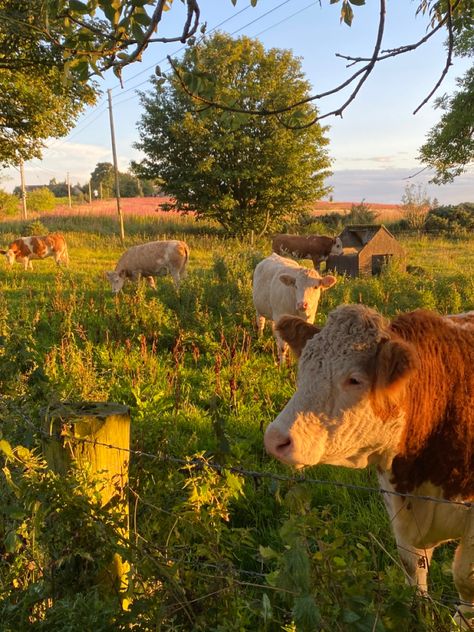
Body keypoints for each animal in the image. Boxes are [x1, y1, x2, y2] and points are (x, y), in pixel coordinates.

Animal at [264, 304, 474, 628]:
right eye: (305, 367)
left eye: (355, 380)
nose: (275, 438)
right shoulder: (396, 500)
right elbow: (412, 566)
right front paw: (420, 613)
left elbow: (465, 580)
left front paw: (462, 621)